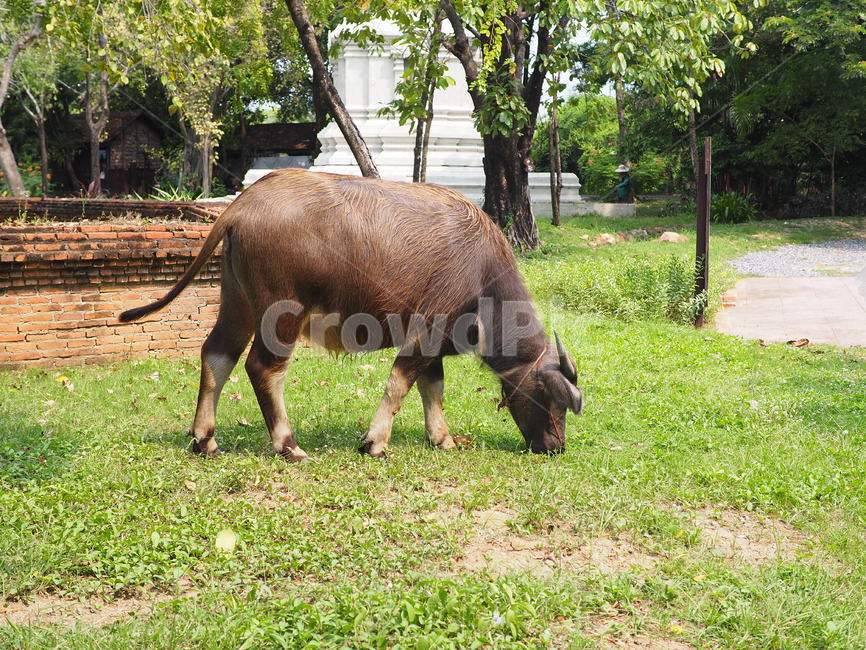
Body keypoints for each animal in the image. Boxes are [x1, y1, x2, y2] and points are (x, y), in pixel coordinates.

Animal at [120, 169, 582, 461]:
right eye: (552, 397)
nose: (556, 446)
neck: (482, 275)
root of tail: (242, 205)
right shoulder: (426, 330)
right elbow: (399, 383)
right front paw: (375, 442)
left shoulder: (434, 344)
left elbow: (432, 388)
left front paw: (443, 439)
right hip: (281, 312)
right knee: (263, 368)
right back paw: (288, 445)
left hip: (237, 301)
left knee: (217, 354)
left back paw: (205, 440)